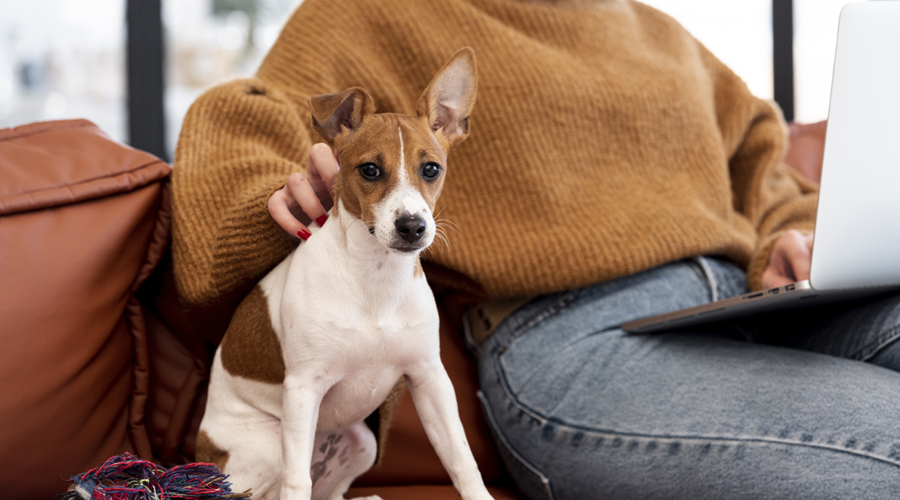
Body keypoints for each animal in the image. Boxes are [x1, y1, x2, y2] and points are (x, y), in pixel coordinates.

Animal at [197, 48, 492, 500]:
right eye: (369, 170)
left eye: (431, 169)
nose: (412, 226)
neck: (376, 279)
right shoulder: (303, 389)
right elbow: (296, 482)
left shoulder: (430, 379)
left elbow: (461, 459)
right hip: (269, 445)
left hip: (362, 442)